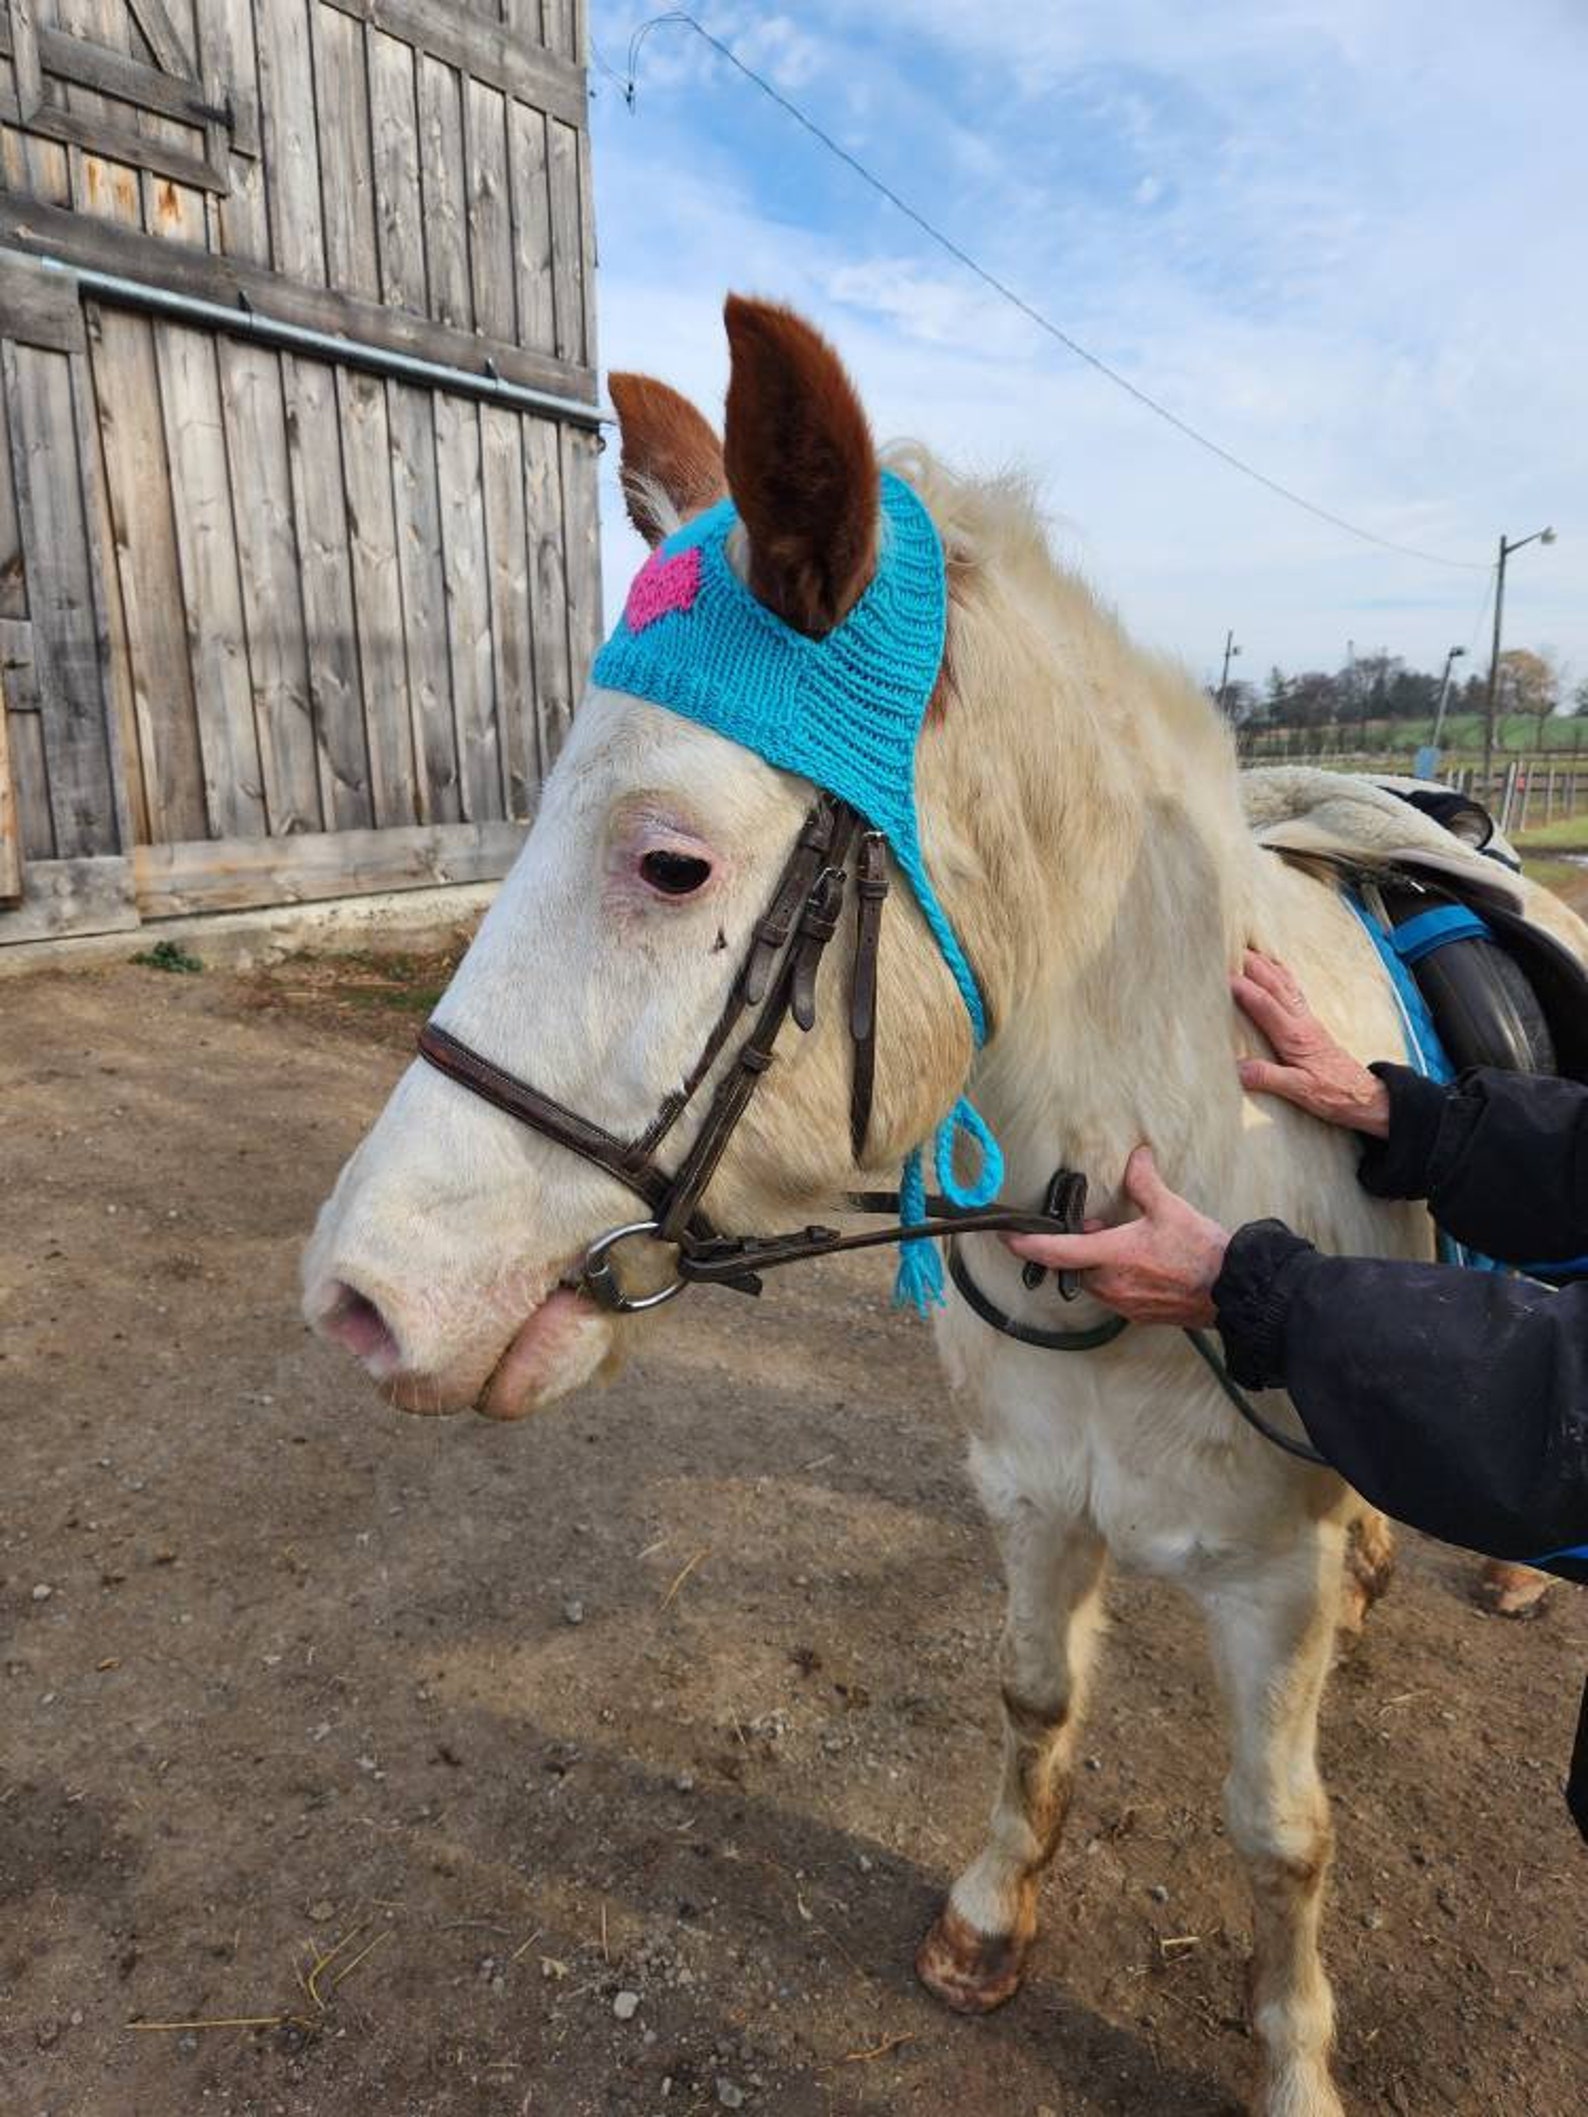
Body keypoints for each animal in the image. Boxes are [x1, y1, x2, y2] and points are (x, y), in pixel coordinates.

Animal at [303, 296, 1579, 2117]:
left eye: (672, 862)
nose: (359, 1297)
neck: (1161, 1174)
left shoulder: (1261, 1586)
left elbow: (1279, 1836)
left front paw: (1294, 2064)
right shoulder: (1033, 1504)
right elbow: (1032, 1700)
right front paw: (988, 1917)